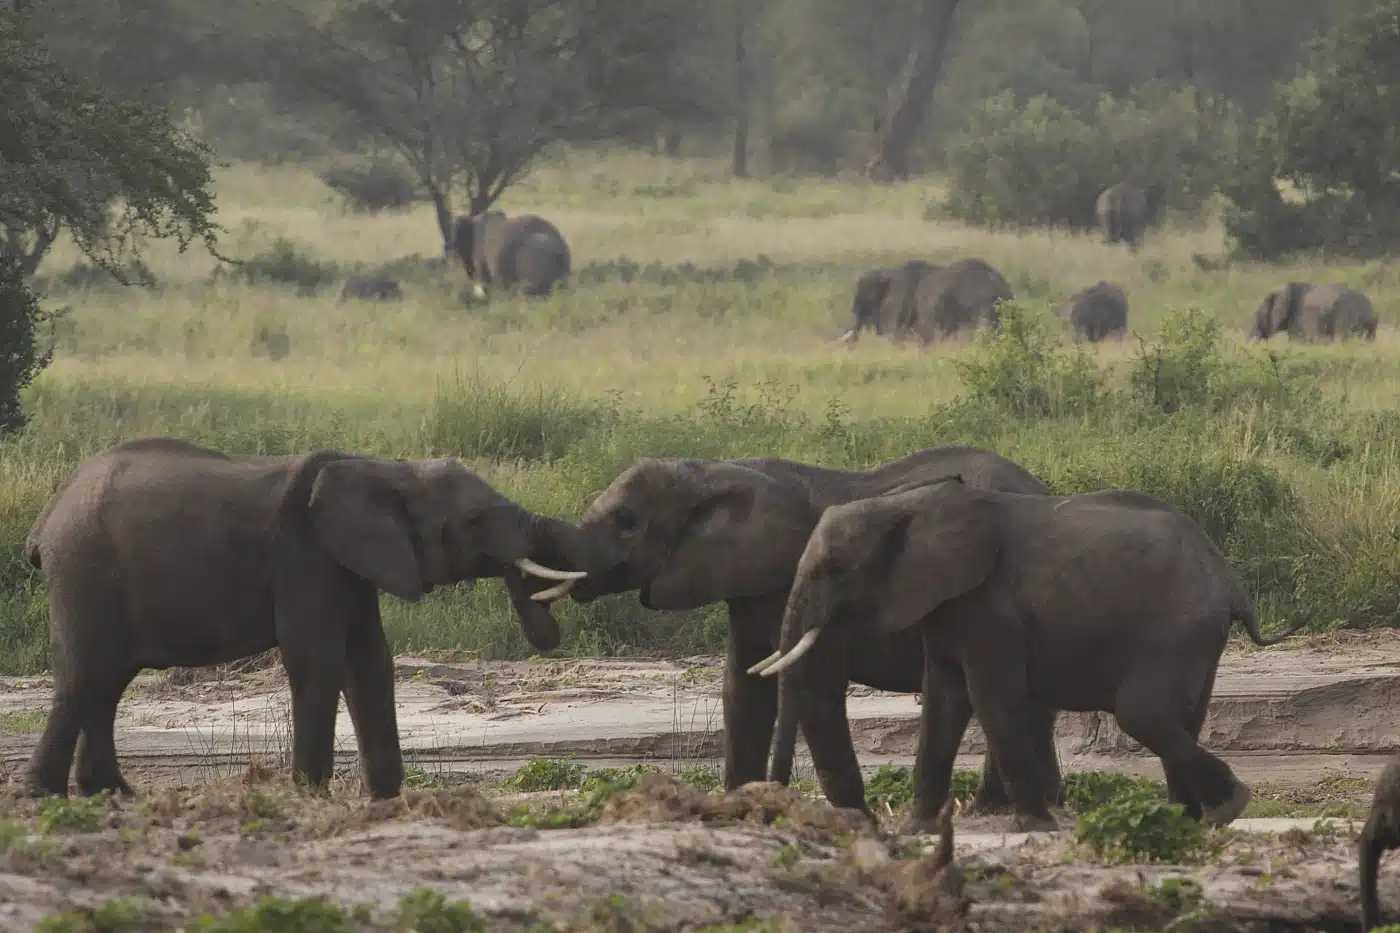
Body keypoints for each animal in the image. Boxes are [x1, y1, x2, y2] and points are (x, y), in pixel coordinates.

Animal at [21, 437, 590, 800]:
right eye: (473, 520)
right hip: (84, 570)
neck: (389, 469)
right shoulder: (304, 554)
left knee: (107, 682)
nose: (544, 625)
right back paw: (44, 796)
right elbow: (318, 660)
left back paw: (109, 793)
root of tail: (46, 518)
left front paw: (384, 798)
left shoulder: (352, 564)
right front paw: (312, 795)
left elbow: (370, 661)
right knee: (85, 677)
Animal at [536, 447, 1059, 822]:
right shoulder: (748, 584)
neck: (710, 471)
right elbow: (744, 690)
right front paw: (734, 812)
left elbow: (811, 687)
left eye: (627, 523)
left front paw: (854, 821)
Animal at [760, 477, 1302, 834]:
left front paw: (1035, 827)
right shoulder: (943, 604)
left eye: (833, 566)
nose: (768, 812)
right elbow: (944, 702)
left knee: (1141, 714)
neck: (904, 505)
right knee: (1181, 718)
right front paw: (917, 832)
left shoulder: (988, 608)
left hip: (1178, 627)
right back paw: (1188, 822)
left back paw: (1228, 807)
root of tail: (1232, 581)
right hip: (1198, 634)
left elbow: (992, 698)